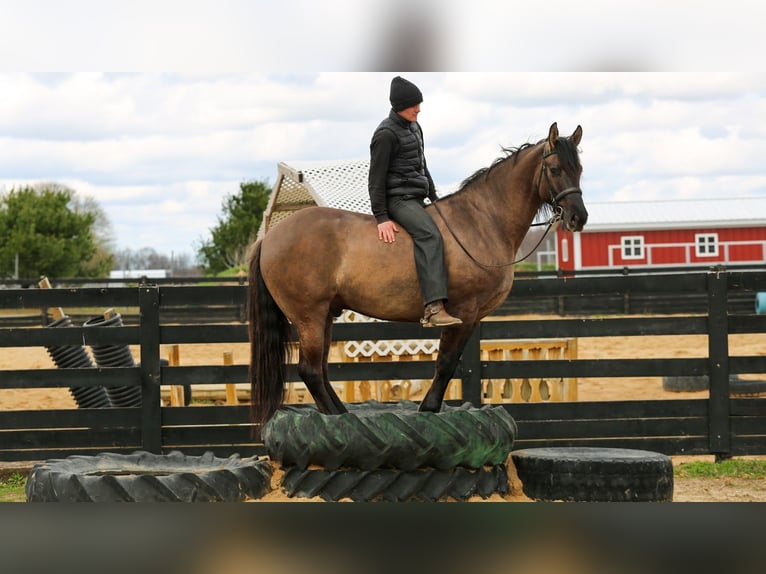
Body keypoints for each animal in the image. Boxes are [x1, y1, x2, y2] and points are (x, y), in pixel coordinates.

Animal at [248, 122, 588, 426]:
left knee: (319, 369)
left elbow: (449, 362)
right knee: (310, 370)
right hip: (309, 316)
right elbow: (446, 363)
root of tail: (270, 238)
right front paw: (429, 409)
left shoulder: (473, 318)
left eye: (579, 169)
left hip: (324, 316)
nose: (578, 218)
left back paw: (341, 413)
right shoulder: (463, 312)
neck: (480, 222)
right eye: (554, 169)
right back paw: (336, 419)